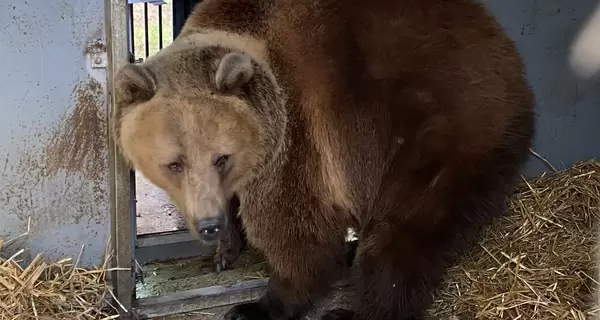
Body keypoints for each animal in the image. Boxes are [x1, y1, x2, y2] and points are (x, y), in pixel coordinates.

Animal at [112, 0, 536, 318]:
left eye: (221, 157)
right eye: (174, 164)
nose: (208, 226)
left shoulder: (299, 134)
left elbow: (296, 231)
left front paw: (259, 305)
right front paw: (226, 251)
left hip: (438, 135)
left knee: (403, 233)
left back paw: (356, 309)